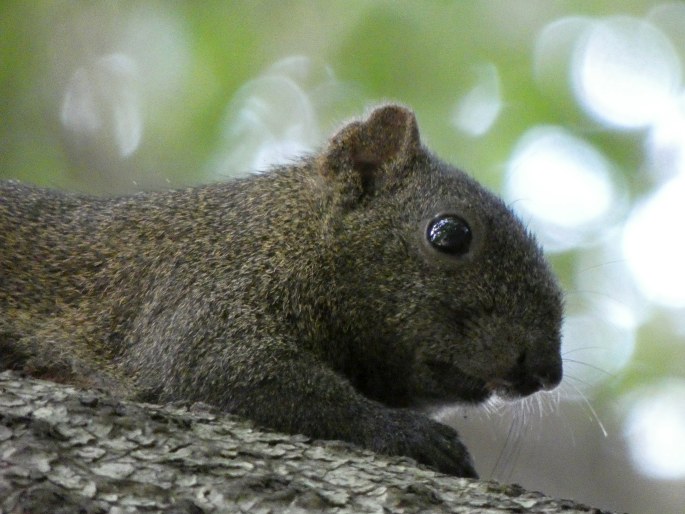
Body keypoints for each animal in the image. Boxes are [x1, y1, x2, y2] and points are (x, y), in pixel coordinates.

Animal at [0, 104, 560, 476]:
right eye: (449, 234)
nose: (546, 369)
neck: (286, 233)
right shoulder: (201, 290)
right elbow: (218, 368)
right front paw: (411, 433)